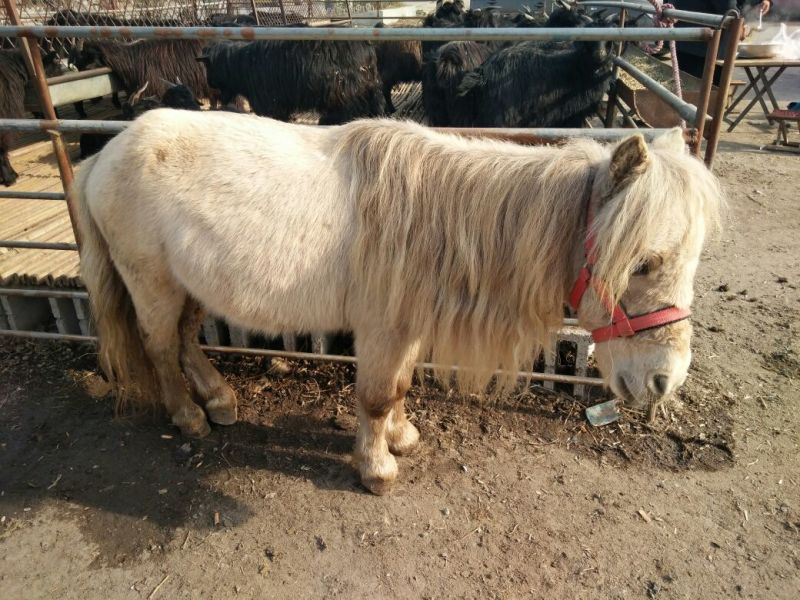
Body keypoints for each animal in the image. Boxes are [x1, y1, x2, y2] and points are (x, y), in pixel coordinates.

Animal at [71, 111, 722, 495]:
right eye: (643, 263)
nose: (665, 381)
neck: (439, 220)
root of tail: (103, 154)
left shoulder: (407, 329)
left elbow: (401, 388)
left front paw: (401, 438)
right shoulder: (382, 330)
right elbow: (376, 396)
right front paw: (376, 467)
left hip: (190, 287)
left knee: (185, 340)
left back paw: (218, 399)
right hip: (152, 283)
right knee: (160, 346)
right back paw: (188, 416)